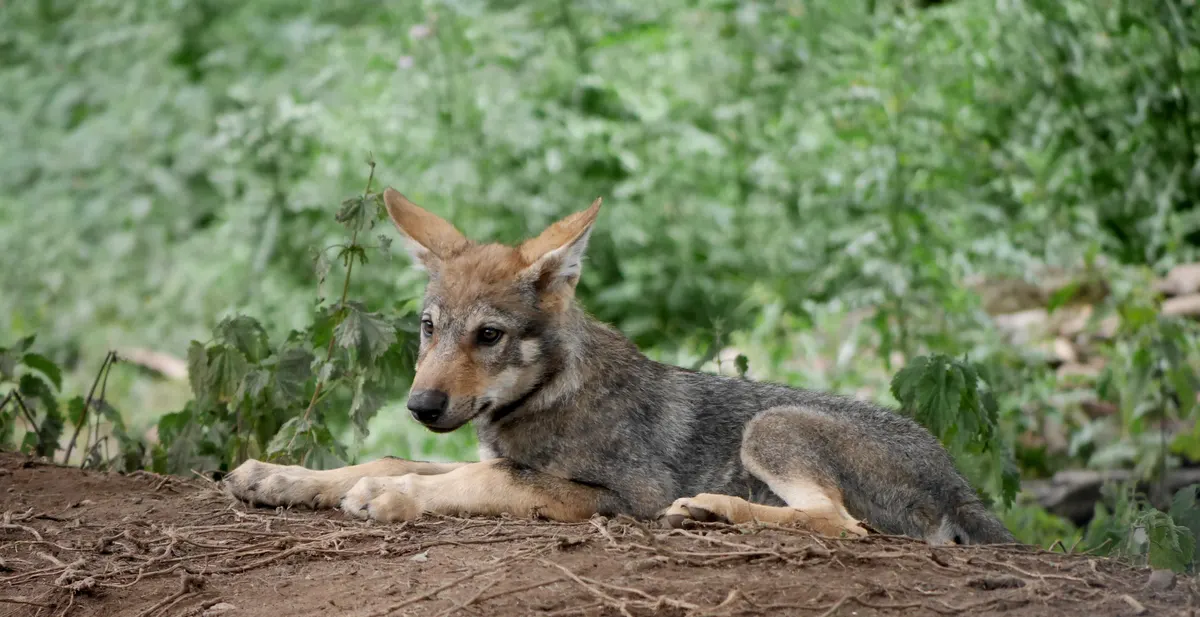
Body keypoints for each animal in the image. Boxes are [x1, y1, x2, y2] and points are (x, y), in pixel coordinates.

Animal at [222, 189, 1016, 545]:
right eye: (427, 328)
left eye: (489, 335)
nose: (421, 406)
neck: (547, 395)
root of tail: (962, 484)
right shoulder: (488, 452)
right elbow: (389, 458)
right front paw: (279, 478)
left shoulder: (614, 491)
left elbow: (473, 482)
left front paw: (391, 499)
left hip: (769, 426)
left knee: (841, 524)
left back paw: (711, 507)